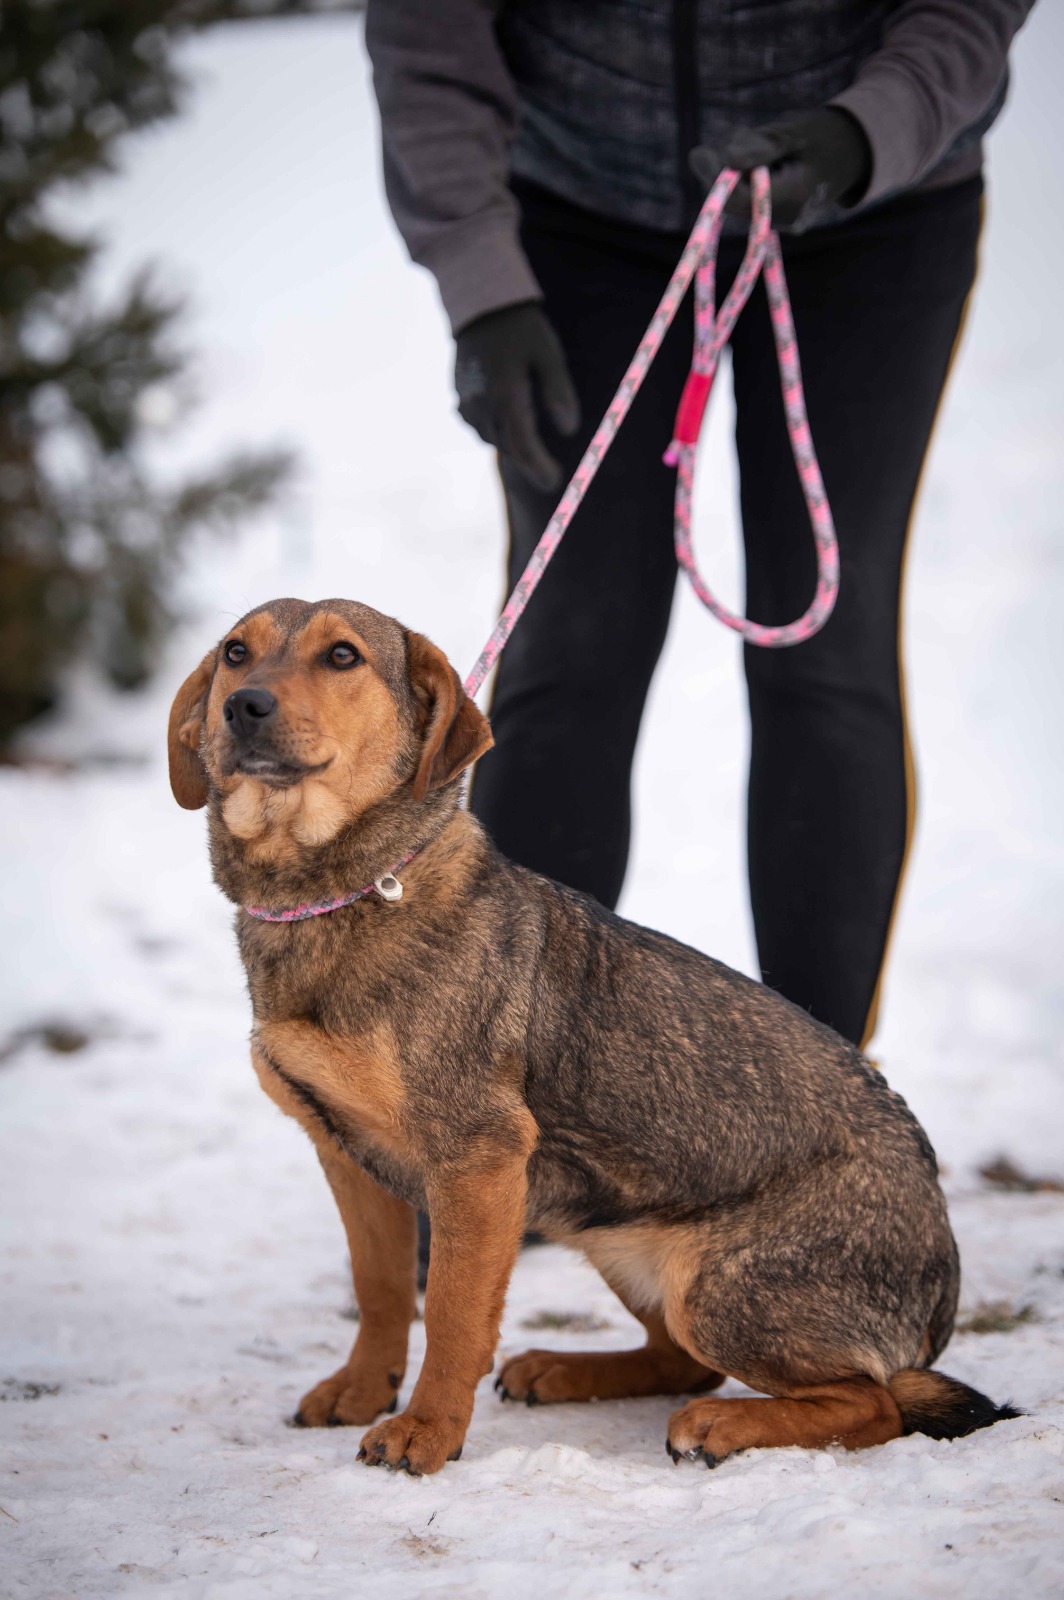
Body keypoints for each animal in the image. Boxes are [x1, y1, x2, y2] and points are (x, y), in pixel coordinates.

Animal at [168, 596, 1016, 1476]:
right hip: (611, 1237)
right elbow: (382, 1293)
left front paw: (426, 1431)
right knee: (686, 1363)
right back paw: (563, 1370)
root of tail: (938, 1298)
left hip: (719, 1285)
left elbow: (453, 1313)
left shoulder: (479, 1157)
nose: (244, 707)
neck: (342, 895)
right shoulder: (345, 1153)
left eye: (342, 655)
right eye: (235, 653)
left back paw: (723, 1425)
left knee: (870, 1402)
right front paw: (363, 1391)